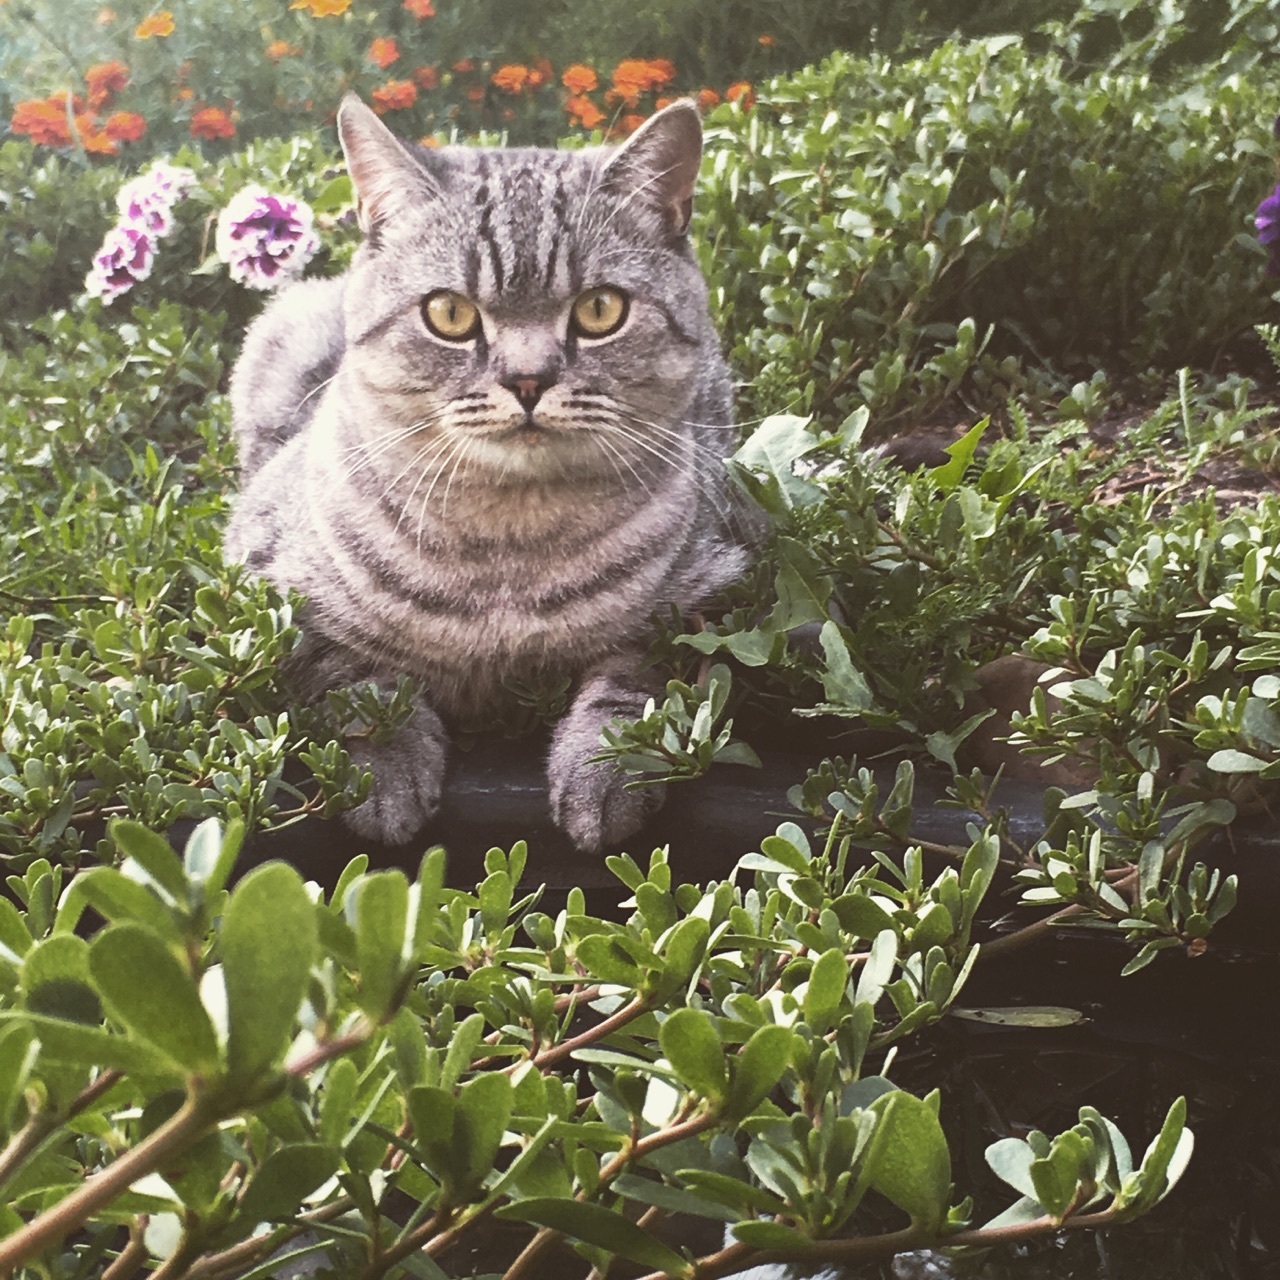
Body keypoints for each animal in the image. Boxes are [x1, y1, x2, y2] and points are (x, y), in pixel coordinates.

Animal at [225, 94, 747, 855]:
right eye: (449, 313)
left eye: (600, 309)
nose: (528, 380)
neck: (506, 547)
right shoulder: (265, 584)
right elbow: (348, 672)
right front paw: (385, 760)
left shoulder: (711, 589)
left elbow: (638, 679)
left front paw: (605, 766)